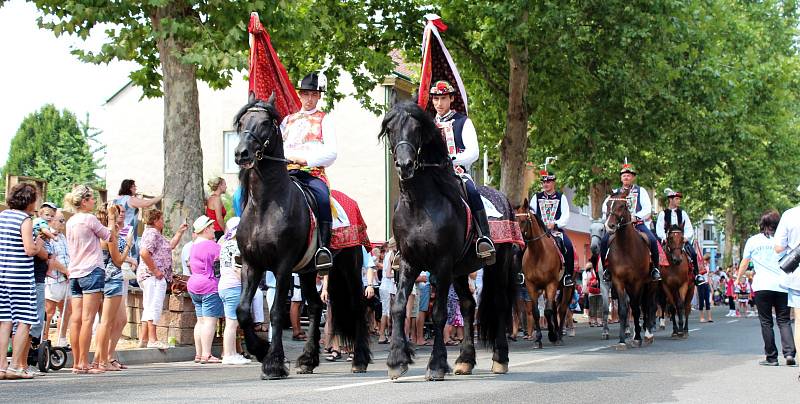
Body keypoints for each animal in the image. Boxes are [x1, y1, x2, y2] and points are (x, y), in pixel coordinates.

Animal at [230, 94, 370, 378]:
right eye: (241, 122)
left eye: (265, 123)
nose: (241, 153)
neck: (265, 205)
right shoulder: (252, 264)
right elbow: (243, 310)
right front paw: (260, 350)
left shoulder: (283, 266)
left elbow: (275, 313)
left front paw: (273, 363)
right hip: (307, 271)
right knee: (315, 306)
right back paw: (307, 360)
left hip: (349, 266)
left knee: (357, 305)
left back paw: (360, 360)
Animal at [378, 102, 516, 380]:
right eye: (390, 129)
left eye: (418, 129)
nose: (405, 165)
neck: (418, 204)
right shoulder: (409, 262)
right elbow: (398, 306)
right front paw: (397, 360)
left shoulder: (441, 264)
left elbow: (440, 313)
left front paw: (436, 365)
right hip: (461, 270)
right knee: (468, 305)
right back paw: (465, 360)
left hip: (498, 265)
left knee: (499, 303)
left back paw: (500, 359)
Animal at [516, 200, 572, 348]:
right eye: (513, 220)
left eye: (523, 221)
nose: (518, 244)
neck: (538, 254)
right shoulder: (531, 286)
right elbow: (536, 312)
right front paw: (538, 339)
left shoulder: (550, 283)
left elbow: (547, 311)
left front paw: (552, 335)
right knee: (554, 308)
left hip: (566, 288)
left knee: (561, 310)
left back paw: (559, 335)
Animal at [608, 191, 656, 348]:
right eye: (608, 204)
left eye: (622, 206)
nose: (610, 225)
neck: (625, 249)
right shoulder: (618, 281)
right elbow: (623, 309)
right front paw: (622, 340)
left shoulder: (637, 282)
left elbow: (636, 308)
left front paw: (638, 338)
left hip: (650, 284)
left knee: (647, 306)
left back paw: (647, 334)